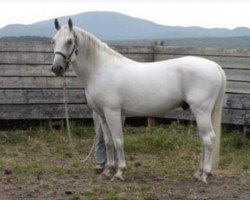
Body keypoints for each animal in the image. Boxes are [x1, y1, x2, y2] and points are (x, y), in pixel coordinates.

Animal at [51, 18, 227, 184]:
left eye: (69, 41)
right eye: (53, 41)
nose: (56, 68)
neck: (101, 69)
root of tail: (216, 66)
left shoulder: (112, 112)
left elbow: (118, 141)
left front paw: (119, 172)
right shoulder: (102, 115)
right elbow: (108, 142)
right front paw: (107, 170)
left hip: (201, 111)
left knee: (208, 139)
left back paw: (205, 174)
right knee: (203, 140)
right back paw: (199, 173)